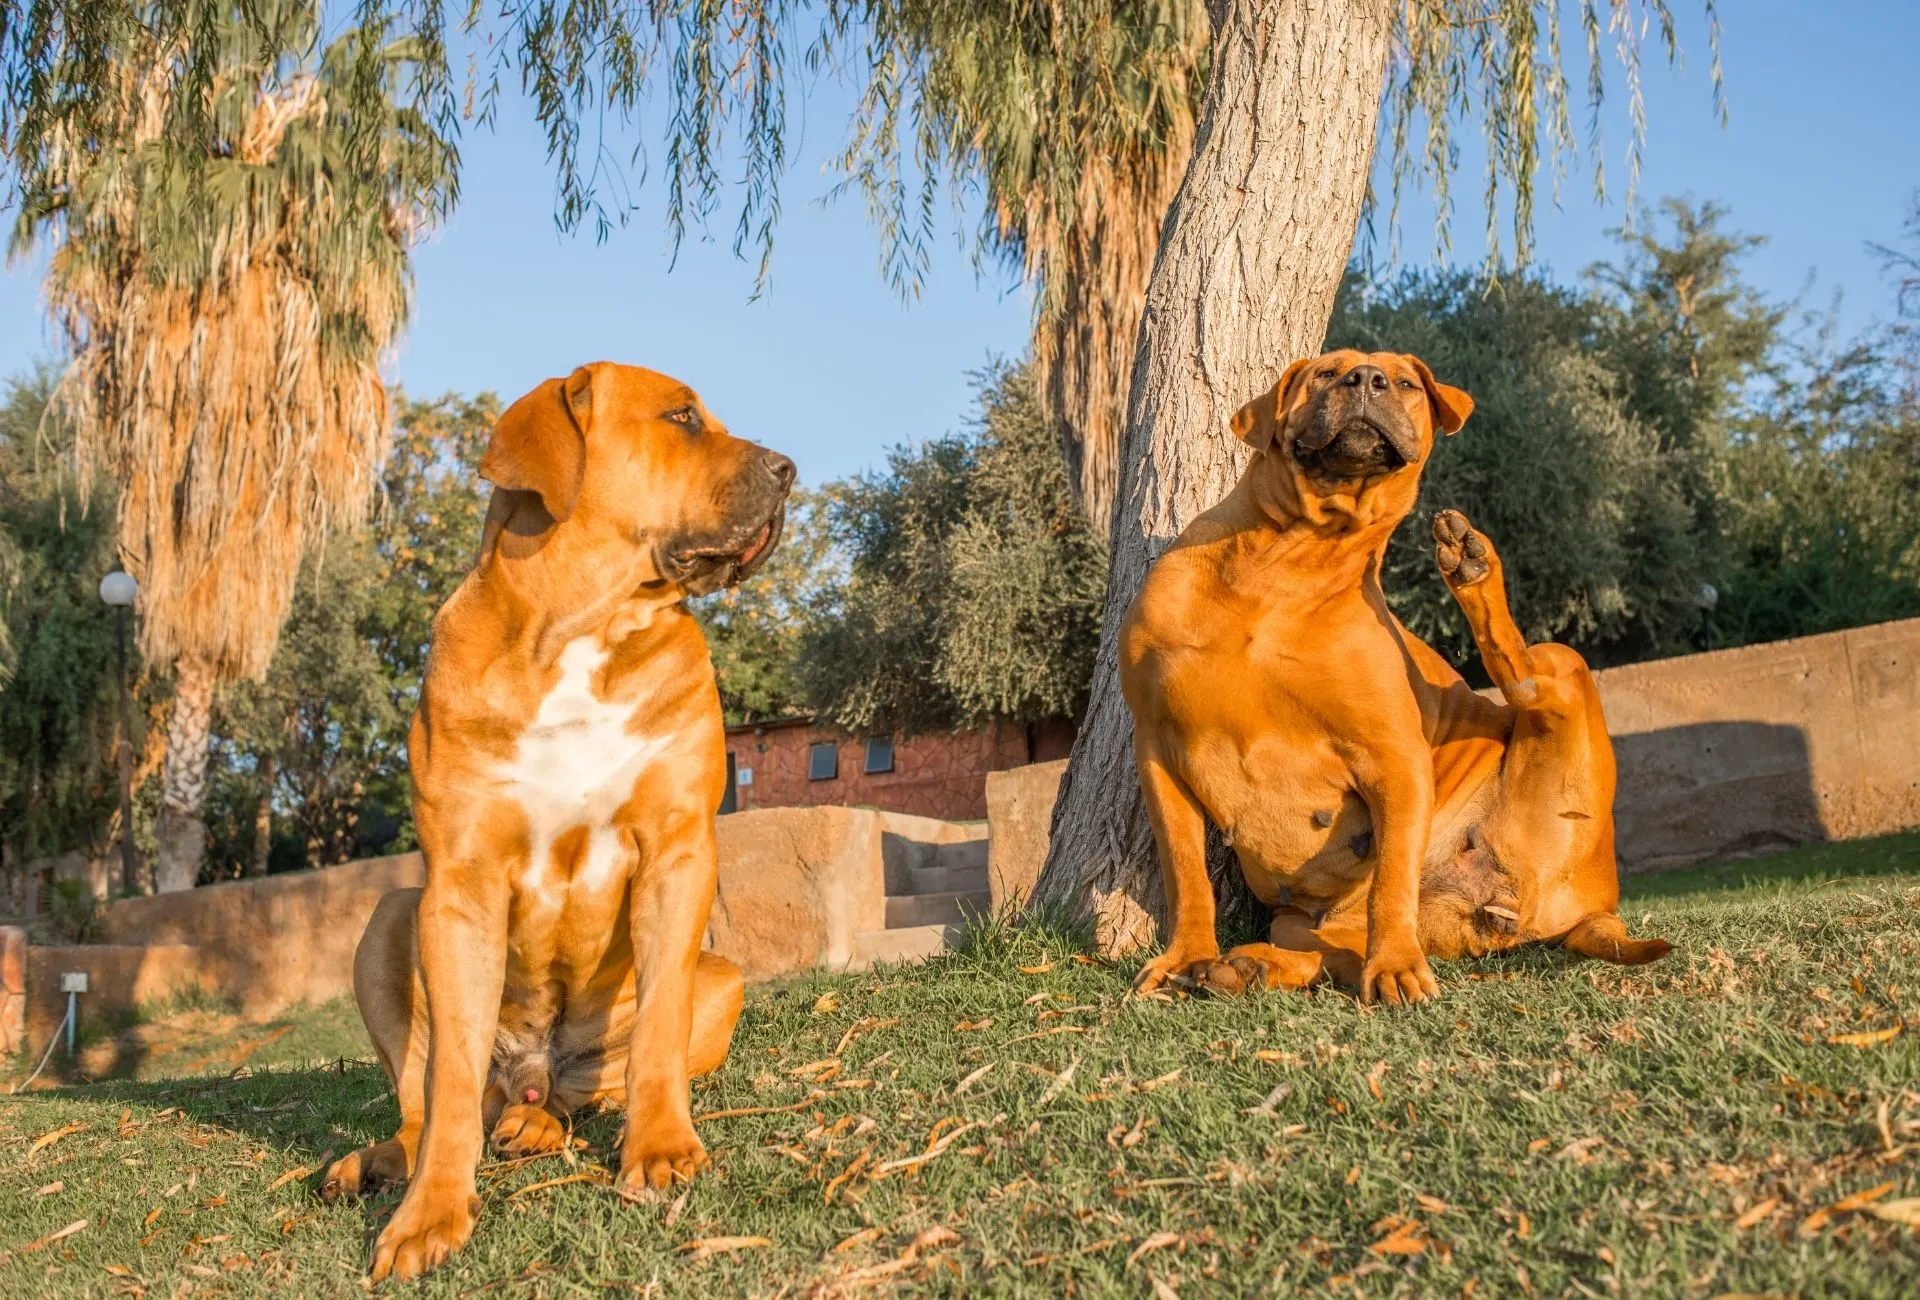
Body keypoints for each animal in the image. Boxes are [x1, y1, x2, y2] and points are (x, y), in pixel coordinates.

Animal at [318, 359, 791, 1275]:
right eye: (681, 417)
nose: (789, 469)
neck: (583, 627)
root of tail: (529, 1075)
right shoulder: (458, 885)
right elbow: (447, 1082)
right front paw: (429, 1214)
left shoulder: (678, 850)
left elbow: (657, 1032)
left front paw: (661, 1149)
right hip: (388, 920)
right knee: (424, 1104)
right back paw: (384, 1160)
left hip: (722, 980)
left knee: (582, 1089)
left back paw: (537, 1123)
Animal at [1121, 347, 1666, 1006]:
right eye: (1325, 374)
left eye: (1404, 382)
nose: (1367, 379)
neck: (1286, 568)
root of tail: (1594, 905)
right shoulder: (1159, 750)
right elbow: (1186, 873)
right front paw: (1185, 957)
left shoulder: (1394, 756)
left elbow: (1391, 884)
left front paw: (1398, 969)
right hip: (1297, 920)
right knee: (1331, 955)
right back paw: (1246, 966)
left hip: (1562, 674)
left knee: (1528, 675)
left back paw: (1473, 563)